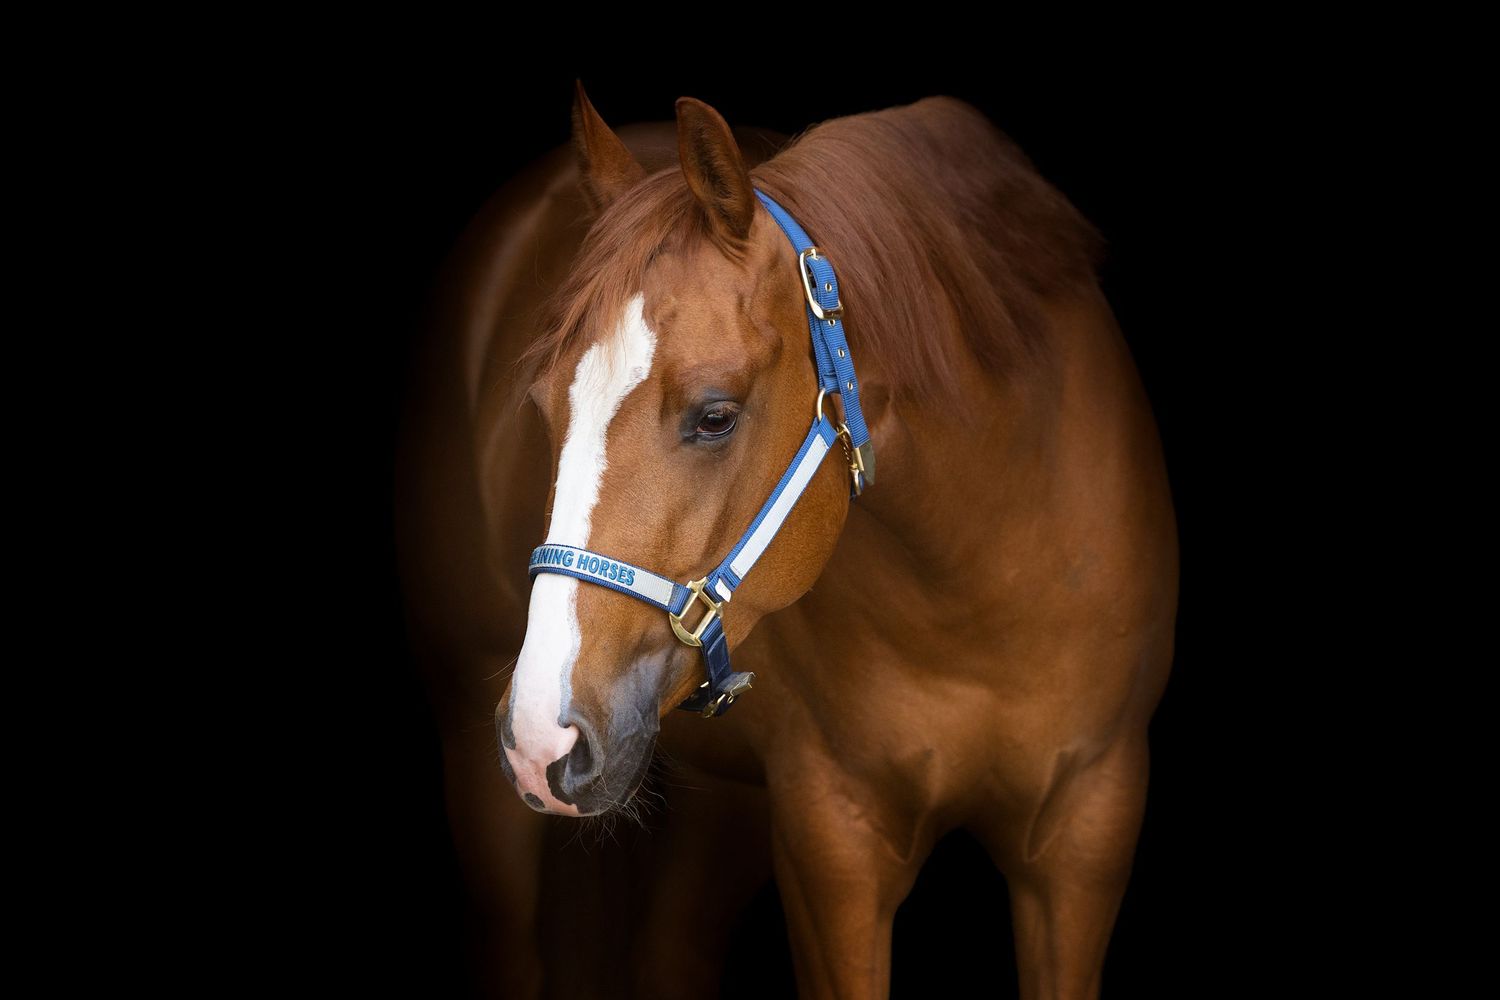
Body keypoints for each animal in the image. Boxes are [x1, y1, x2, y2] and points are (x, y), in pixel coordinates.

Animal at [398, 82, 1178, 999]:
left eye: (715, 415)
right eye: (541, 404)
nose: (541, 735)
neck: (989, 580)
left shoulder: (1087, 831)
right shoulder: (832, 841)